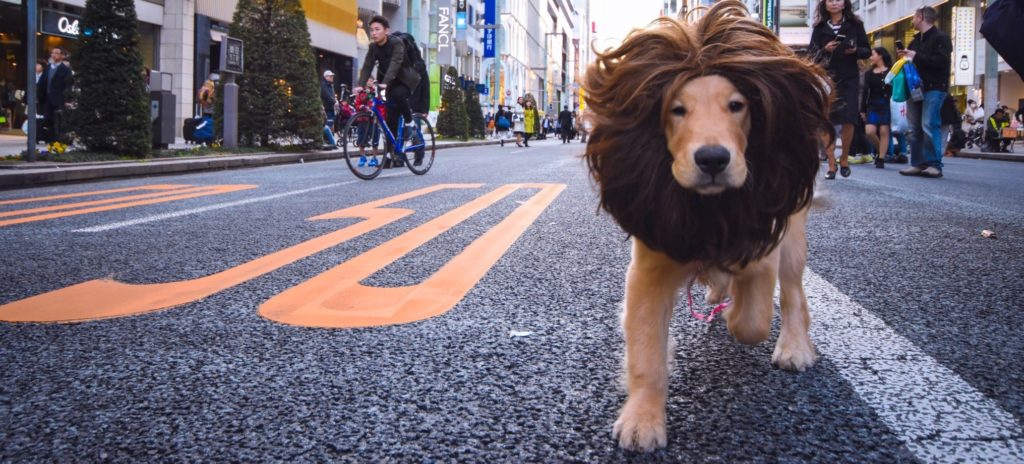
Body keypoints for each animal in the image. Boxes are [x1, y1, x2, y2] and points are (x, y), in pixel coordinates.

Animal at [581, 0, 835, 452]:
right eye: (676, 109)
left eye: (737, 105)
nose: (713, 159)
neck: (710, 211)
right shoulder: (649, 268)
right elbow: (645, 351)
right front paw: (643, 419)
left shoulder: (762, 249)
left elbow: (751, 321)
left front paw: (737, 313)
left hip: (793, 241)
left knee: (792, 296)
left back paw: (794, 346)